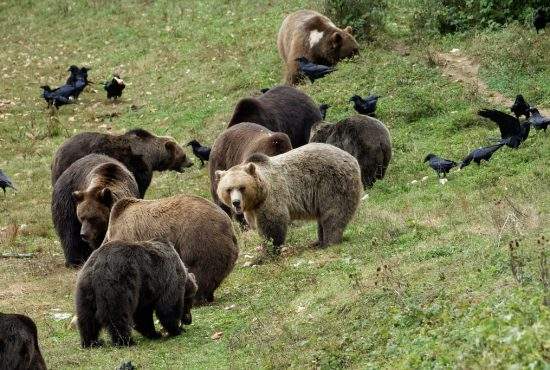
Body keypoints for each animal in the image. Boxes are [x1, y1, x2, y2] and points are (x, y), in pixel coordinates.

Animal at [51, 129, 194, 198]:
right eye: (183, 155)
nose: (191, 162)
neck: (153, 157)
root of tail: (56, 156)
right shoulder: (139, 168)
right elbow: (140, 188)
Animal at [217, 143, 366, 250]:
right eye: (228, 189)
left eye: (242, 187)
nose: (236, 202)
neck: (259, 196)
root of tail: (352, 158)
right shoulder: (253, 209)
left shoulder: (272, 197)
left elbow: (273, 224)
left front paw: (268, 251)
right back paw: (318, 241)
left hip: (333, 184)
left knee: (334, 213)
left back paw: (329, 242)